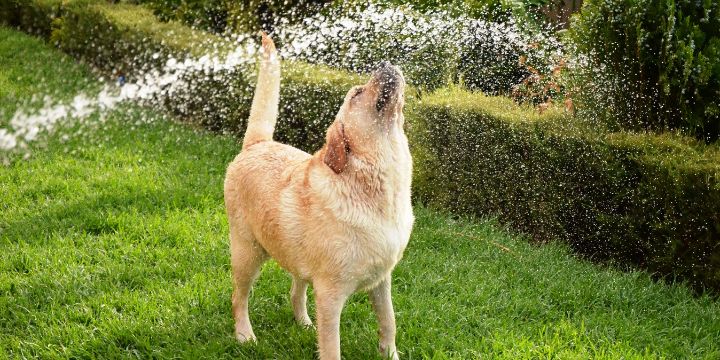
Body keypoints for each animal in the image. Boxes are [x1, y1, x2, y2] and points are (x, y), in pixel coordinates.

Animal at [222, 32, 414, 358]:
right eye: (357, 93)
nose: (384, 62)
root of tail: (257, 144)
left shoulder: (381, 280)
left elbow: (389, 322)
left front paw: (391, 354)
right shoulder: (330, 294)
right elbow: (332, 346)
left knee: (295, 290)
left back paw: (302, 322)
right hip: (247, 253)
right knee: (239, 297)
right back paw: (244, 335)